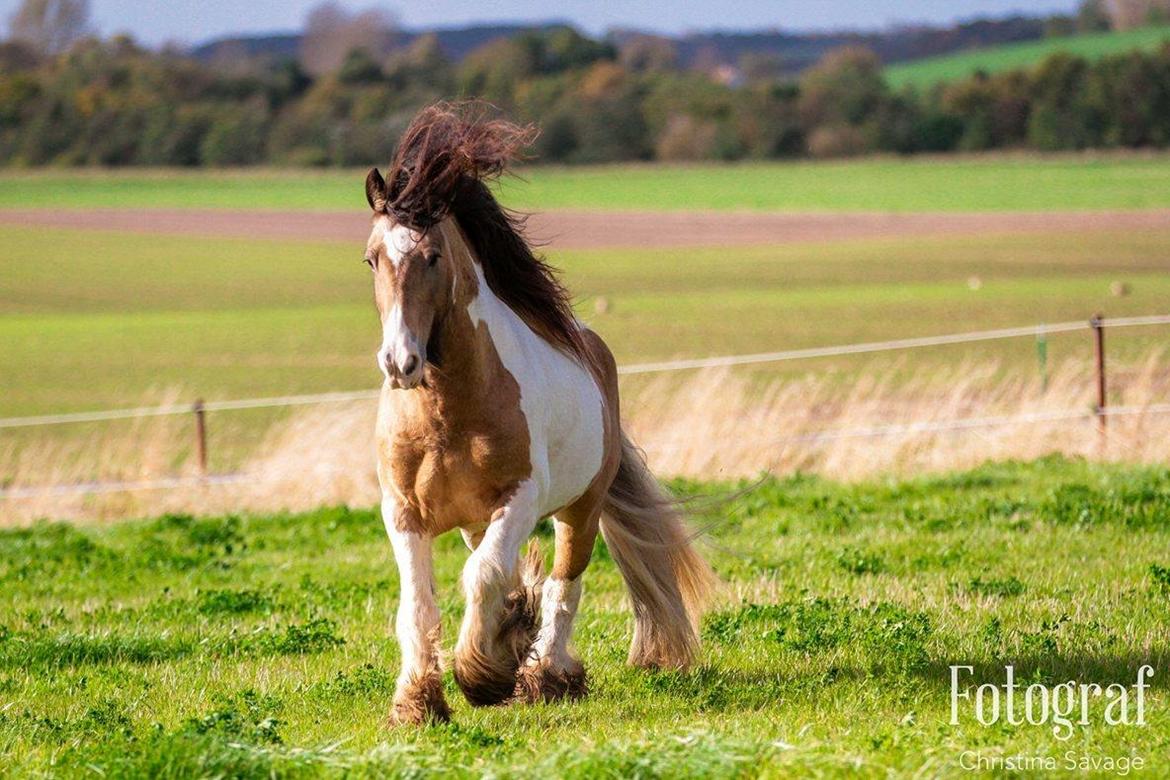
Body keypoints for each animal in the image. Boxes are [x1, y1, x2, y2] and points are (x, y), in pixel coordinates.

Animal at [358, 105, 711, 725]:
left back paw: (549, 674)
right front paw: (418, 703)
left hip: (580, 510)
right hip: (477, 521)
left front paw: (481, 676)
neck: (446, 415)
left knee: (563, 588)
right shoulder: (402, 512)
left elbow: (484, 577)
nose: (400, 362)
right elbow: (419, 604)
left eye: (432, 256)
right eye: (372, 258)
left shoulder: (521, 497)